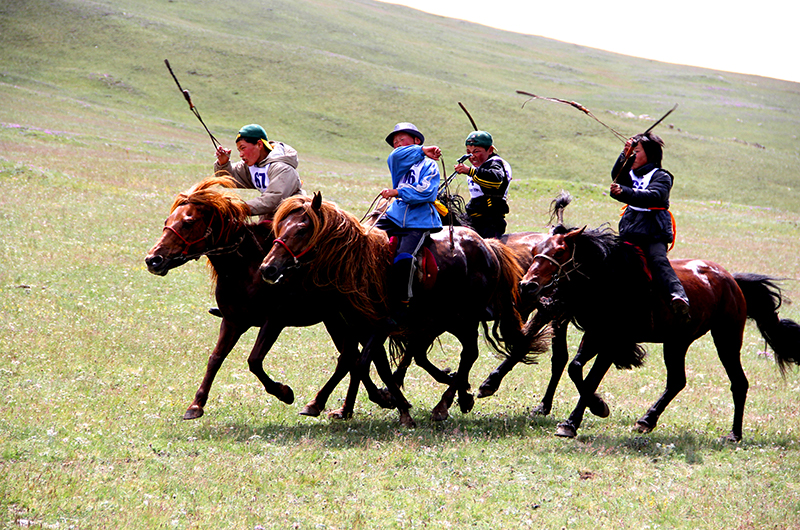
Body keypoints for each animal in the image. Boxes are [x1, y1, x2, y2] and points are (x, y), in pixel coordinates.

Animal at [145, 177, 396, 420]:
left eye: (188, 222)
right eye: (168, 220)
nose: (153, 260)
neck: (246, 268)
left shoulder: (274, 321)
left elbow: (254, 360)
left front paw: (284, 392)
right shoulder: (232, 321)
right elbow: (215, 358)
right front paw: (196, 404)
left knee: (357, 358)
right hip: (336, 321)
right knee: (354, 358)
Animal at [260, 192, 548, 426]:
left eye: (302, 230)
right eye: (280, 226)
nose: (268, 268)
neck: (357, 266)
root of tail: (487, 245)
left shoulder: (381, 325)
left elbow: (362, 363)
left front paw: (394, 405)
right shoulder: (357, 326)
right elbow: (360, 363)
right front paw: (338, 406)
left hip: (464, 318)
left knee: (469, 354)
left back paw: (445, 405)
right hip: (446, 319)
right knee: (441, 355)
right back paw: (461, 394)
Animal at [520, 221, 800, 440]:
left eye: (560, 251)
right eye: (536, 250)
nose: (527, 285)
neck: (612, 279)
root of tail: (731, 280)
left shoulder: (612, 342)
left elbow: (590, 378)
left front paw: (580, 418)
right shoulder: (596, 335)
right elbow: (575, 369)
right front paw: (594, 408)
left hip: (726, 339)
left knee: (738, 382)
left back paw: (734, 434)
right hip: (676, 342)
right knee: (677, 381)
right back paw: (647, 420)